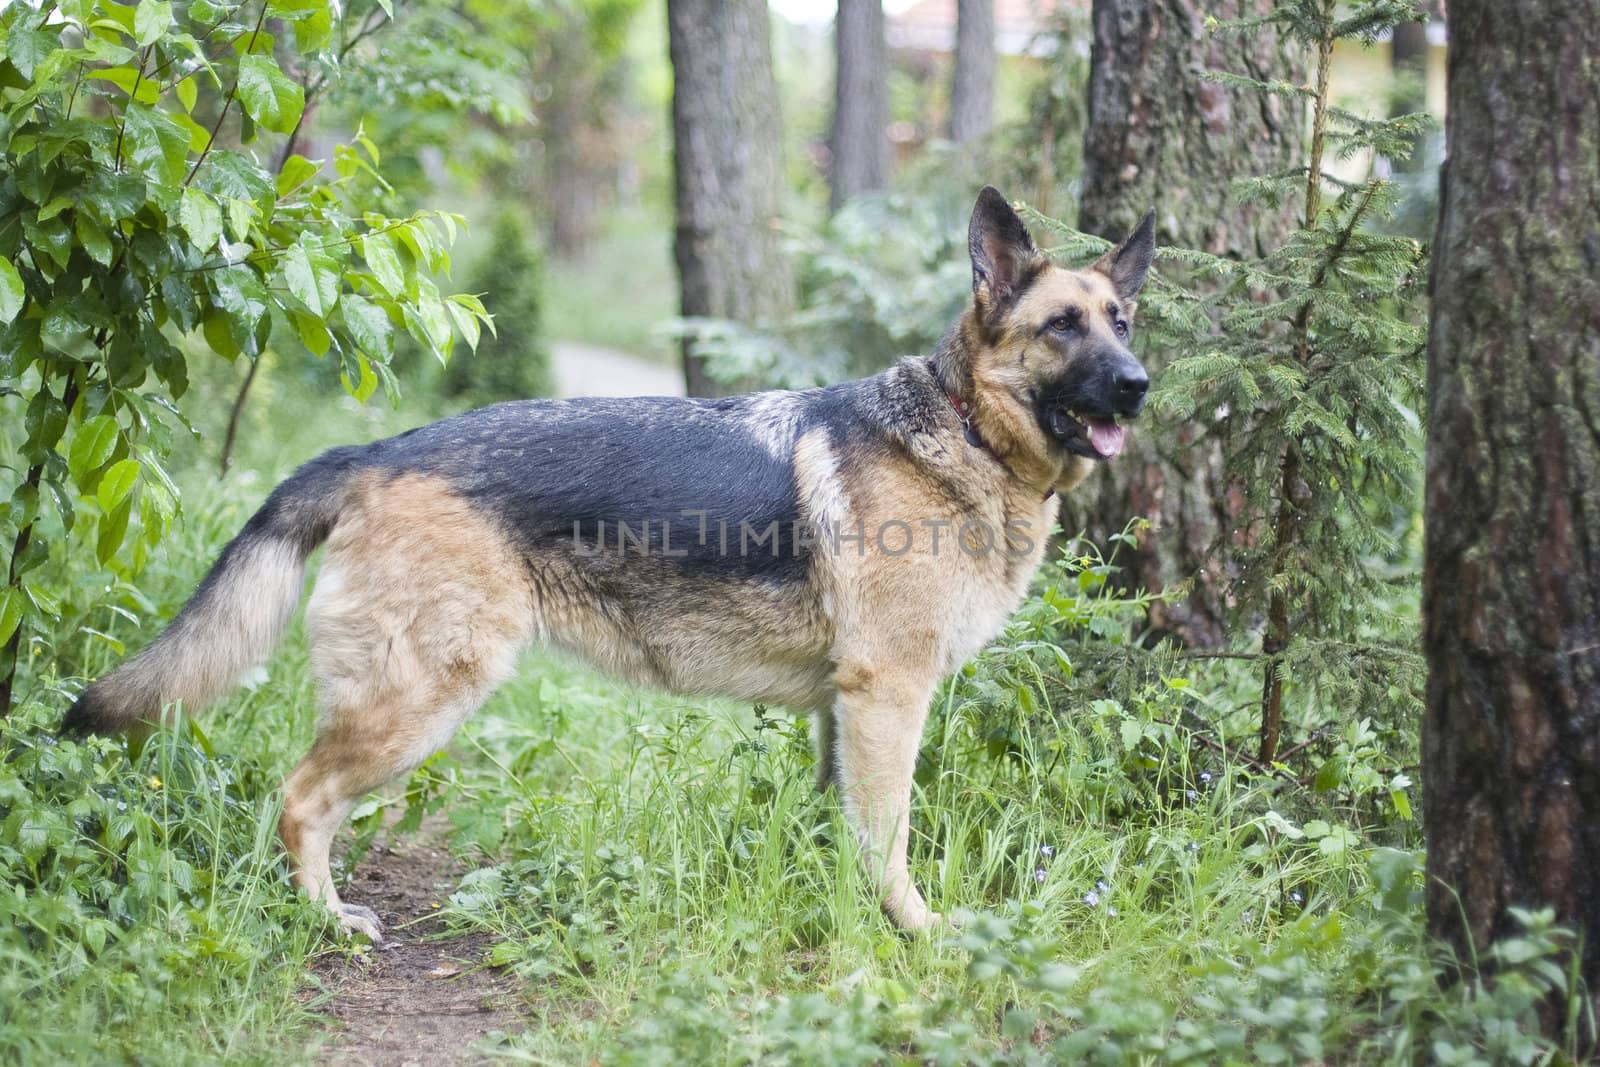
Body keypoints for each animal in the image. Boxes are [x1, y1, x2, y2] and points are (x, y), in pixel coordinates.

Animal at [65, 189, 1152, 934]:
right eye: (1061, 326)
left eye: (1122, 321)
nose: (1140, 385)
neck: (964, 432)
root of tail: (376, 451)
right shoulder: (890, 695)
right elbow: (889, 836)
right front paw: (915, 931)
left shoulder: (843, 708)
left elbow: (839, 827)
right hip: (420, 699)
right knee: (299, 802)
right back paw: (328, 921)